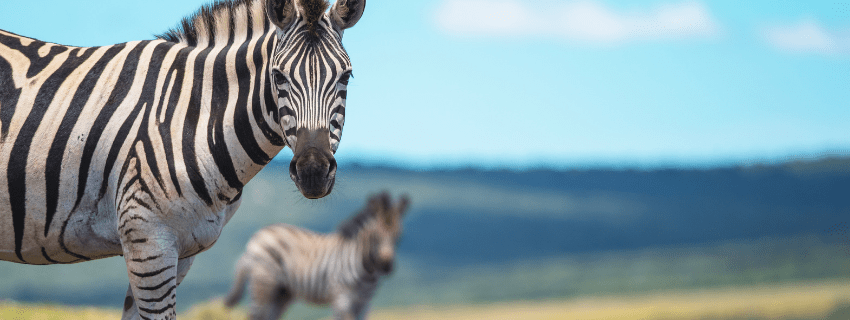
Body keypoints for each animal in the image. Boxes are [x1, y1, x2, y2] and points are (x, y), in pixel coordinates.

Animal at [0, 0, 362, 318]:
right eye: (279, 76)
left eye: (346, 77)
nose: (313, 172)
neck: (189, 119)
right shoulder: (147, 240)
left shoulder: (182, 250)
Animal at [224, 192, 410, 320]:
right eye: (375, 237)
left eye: (398, 236)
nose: (386, 266)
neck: (367, 270)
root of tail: (257, 235)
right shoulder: (342, 299)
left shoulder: (365, 303)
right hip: (263, 282)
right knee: (255, 315)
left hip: (282, 292)